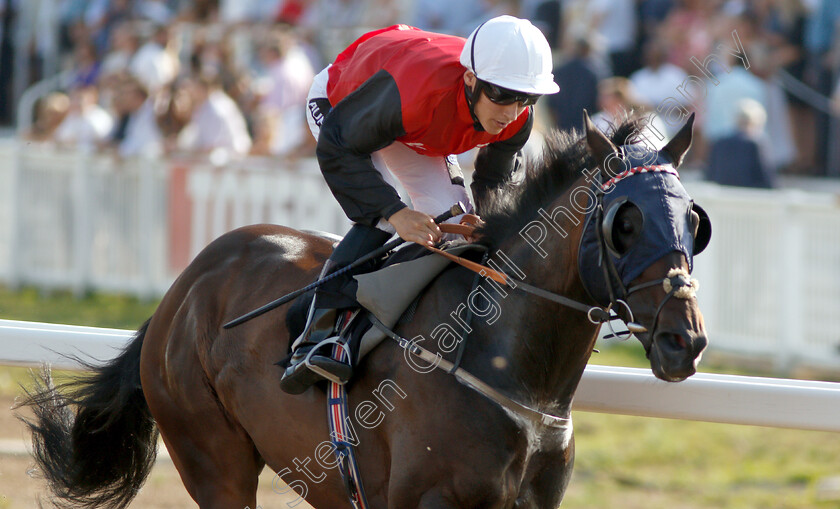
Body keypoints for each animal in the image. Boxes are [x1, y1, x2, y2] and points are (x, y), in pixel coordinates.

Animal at [19, 115, 704, 508]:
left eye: (693, 220)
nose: (685, 340)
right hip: (211, 456)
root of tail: (182, 289)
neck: (504, 364)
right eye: (624, 223)